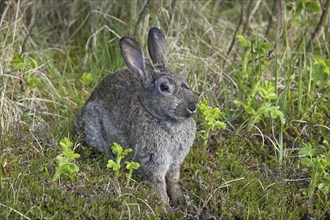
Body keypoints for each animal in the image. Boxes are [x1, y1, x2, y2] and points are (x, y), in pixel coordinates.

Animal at [75, 27, 196, 206]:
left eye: (184, 80)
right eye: (164, 87)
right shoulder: (153, 160)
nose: (192, 106)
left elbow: (173, 179)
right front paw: (164, 206)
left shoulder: (175, 161)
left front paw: (179, 200)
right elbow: (158, 183)